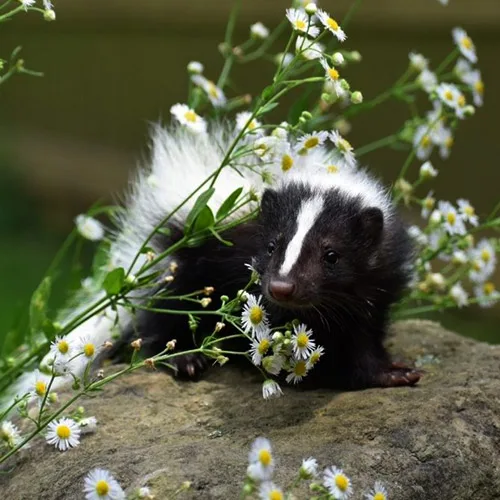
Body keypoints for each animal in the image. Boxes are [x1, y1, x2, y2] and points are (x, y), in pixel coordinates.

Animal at [8, 121, 422, 398]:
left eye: (332, 255)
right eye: (271, 246)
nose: (282, 287)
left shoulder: (376, 286)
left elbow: (361, 334)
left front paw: (389, 372)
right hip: (181, 267)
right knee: (161, 317)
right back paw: (183, 358)